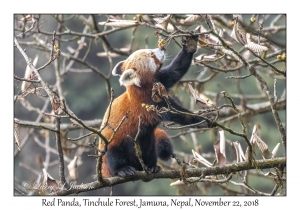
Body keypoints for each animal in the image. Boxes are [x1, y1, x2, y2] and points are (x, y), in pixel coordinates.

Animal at [99, 35, 211, 178]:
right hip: (112, 144)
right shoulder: (149, 102)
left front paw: (189, 46)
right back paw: (122, 169)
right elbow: (177, 113)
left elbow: (175, 71)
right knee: (114, 155)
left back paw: (151, 166)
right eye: (151, 54)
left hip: (150, 143)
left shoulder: (161, 80)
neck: (142, 88)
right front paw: (201, 119)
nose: (160, 49)